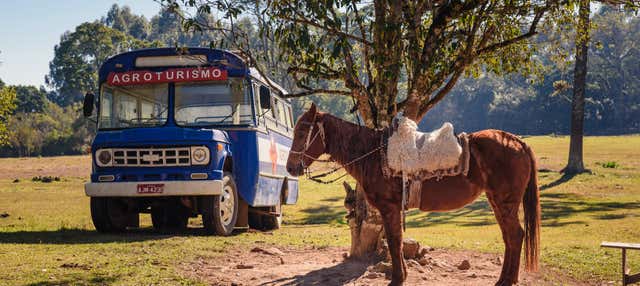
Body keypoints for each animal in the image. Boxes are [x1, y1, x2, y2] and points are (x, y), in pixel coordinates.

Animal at [288, 103, 544, 286]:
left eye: (302, 132)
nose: (291, 168)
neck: (373, 154)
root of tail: (516, 141)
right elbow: (397, 241)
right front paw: (402, 275)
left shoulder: (389, 208)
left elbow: (394, 241)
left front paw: (397, 278)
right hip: (498, 202)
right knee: (511, 237)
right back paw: (504, 279)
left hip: (505, 202)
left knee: (515, 236)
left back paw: (507, 281)